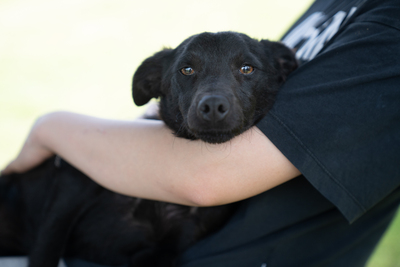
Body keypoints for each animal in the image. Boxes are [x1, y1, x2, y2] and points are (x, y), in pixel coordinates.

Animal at [0, 31, 296, 267]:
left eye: (247, 68)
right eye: (186, 70)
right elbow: (47, 248)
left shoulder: (169, 244)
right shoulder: (72, 184)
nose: (212, 106)